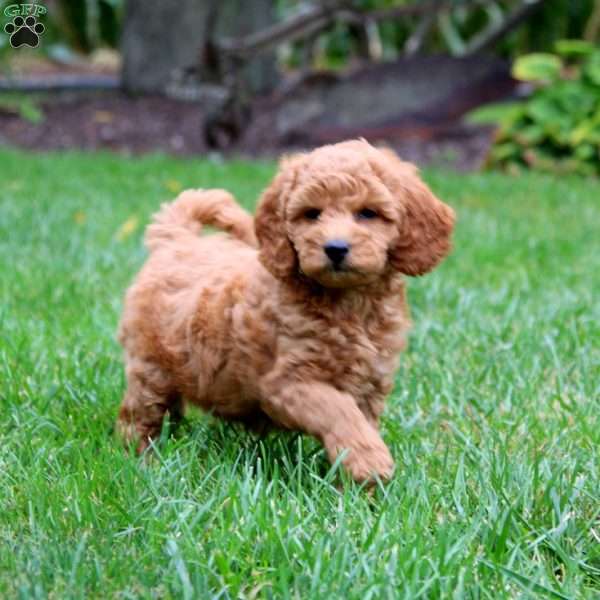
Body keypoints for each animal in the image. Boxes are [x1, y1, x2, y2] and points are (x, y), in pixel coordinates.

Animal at [116, 139, 454, 482]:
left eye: (368, 213)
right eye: (311, 214)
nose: (335, 248)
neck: (349, 306)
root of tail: (176, 239)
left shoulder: (371, 385)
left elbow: (360, 422)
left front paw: (352, 483)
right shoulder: (287, 383)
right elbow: (340, 412)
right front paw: (370, 462)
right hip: (149, 366)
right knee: (138, 415)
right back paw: (143, 461)